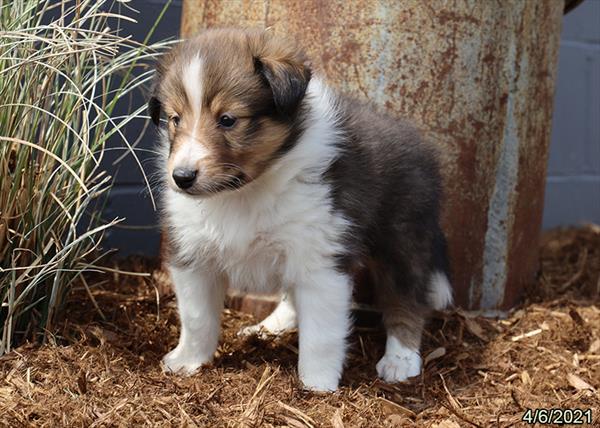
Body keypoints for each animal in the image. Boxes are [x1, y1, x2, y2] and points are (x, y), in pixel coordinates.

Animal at [148, 28, 452, 392]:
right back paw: (268, 327)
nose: (181, 177)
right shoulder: (194, 256)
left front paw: (317, 384)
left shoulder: (322, 259)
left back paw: (400, 359)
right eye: (175, 119)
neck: (243, 193)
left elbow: (321, 334)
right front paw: (187, 361)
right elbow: (196, 318)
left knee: (407, 301)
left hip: (402, 240)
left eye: (228, 120)